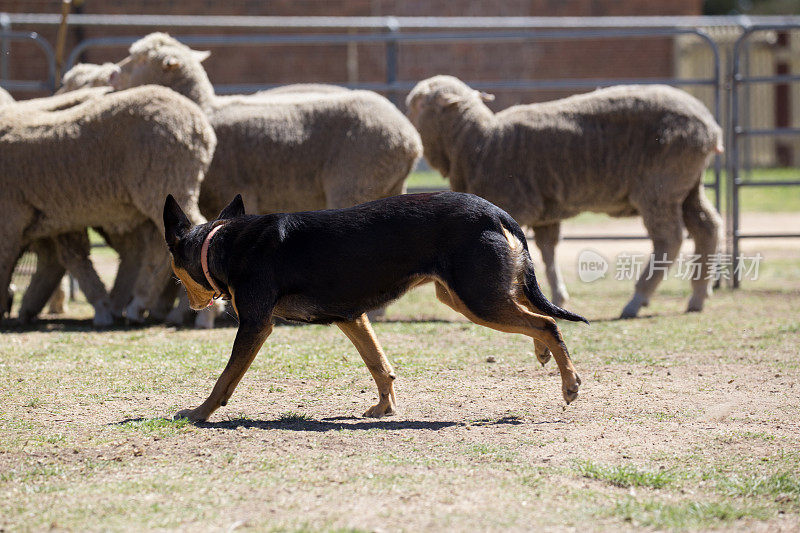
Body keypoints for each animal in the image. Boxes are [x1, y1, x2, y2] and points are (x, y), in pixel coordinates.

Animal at [164, 191, 588, 420]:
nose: (190, 304)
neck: (222, 242)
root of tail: (496, 212)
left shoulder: (255, 324)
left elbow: (225, 377)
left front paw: (200, 413)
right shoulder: (351, 316)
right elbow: (378, 364)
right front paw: (385, 407)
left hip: (476, 298)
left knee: (546, 323)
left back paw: (568, 383)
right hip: (465, 294)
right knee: (534, 315)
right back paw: (543, 354)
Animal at [406, 75, 724, 320]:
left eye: (419, 103)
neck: (478, 141)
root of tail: (710, 128)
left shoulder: (516, 201)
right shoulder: (546, 211)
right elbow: (547, 251)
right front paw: (557, 296)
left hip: (660, 186)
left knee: (669, 239)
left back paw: (636, 300)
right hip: (687, 186)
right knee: (707, 228)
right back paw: (697, 297)